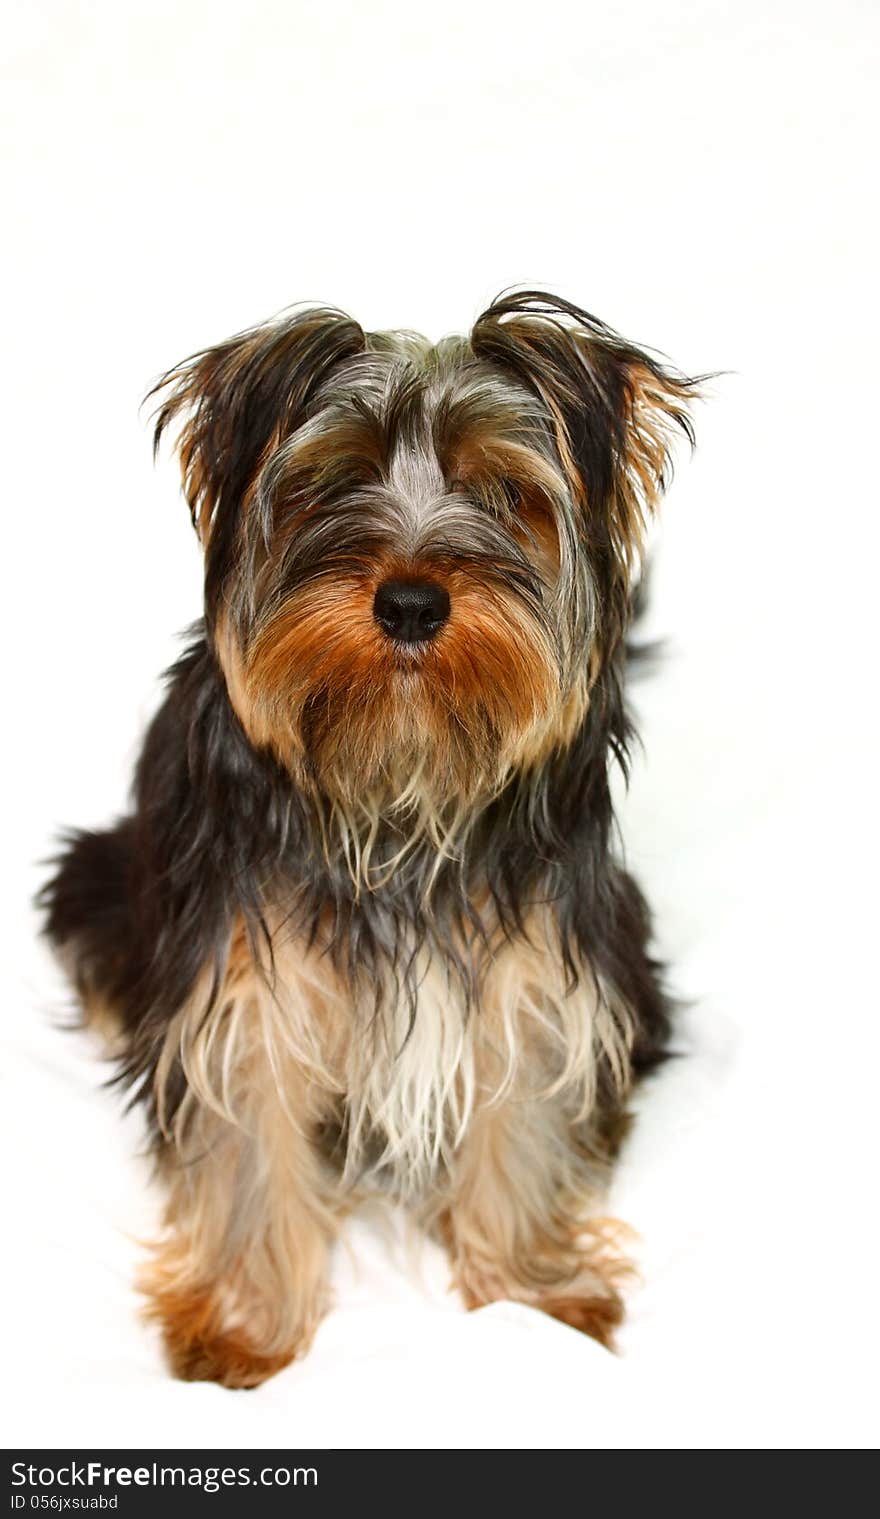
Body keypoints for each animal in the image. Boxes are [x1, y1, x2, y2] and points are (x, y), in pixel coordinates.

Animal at [43, 287, 702, 1391]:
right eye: (332, 482)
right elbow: (249, 1139)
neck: (399, 768)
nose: (410, 602)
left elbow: (525, 1107)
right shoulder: (245, 974)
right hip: (102, 878)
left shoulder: (535, 960)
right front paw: (245, 1323)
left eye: (506, 493)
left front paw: (531, 1293)